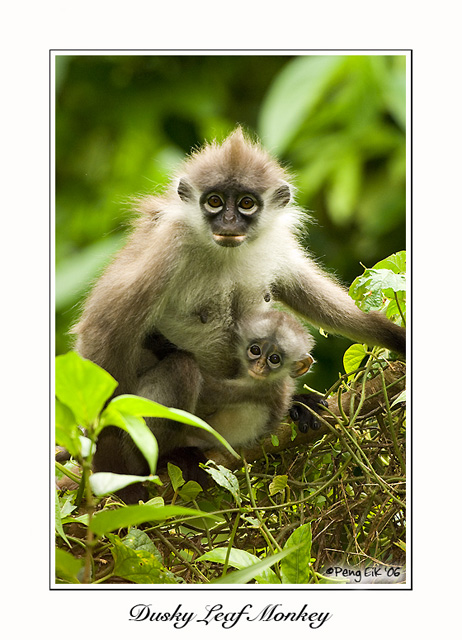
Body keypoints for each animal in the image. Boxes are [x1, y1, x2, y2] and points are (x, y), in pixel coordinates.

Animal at [73, 127, 405, 497]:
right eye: (214, 201)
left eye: (246, 203)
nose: (229, 221)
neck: (225, 252)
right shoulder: (167, 247)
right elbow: (102, 328)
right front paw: (115, 478)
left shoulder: (276, 244)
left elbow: (310, 294)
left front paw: (399, 340)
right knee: (181, 369)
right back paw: (167, 459)